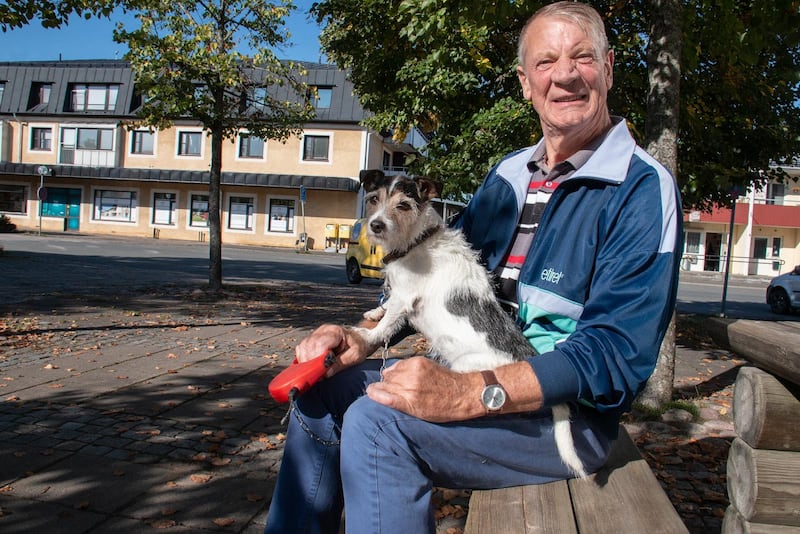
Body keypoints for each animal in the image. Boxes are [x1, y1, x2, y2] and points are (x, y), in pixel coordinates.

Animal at [354, 170, 584, 480]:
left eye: (403, 205)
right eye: (374, 199)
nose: (376, 225)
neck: (417, 240)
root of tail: (530, 359)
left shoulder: (404, 298)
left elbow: (388, 323)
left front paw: (367, 335)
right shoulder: (397, 294)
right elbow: (386, 307)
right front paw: (374, 311)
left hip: (466, 368)